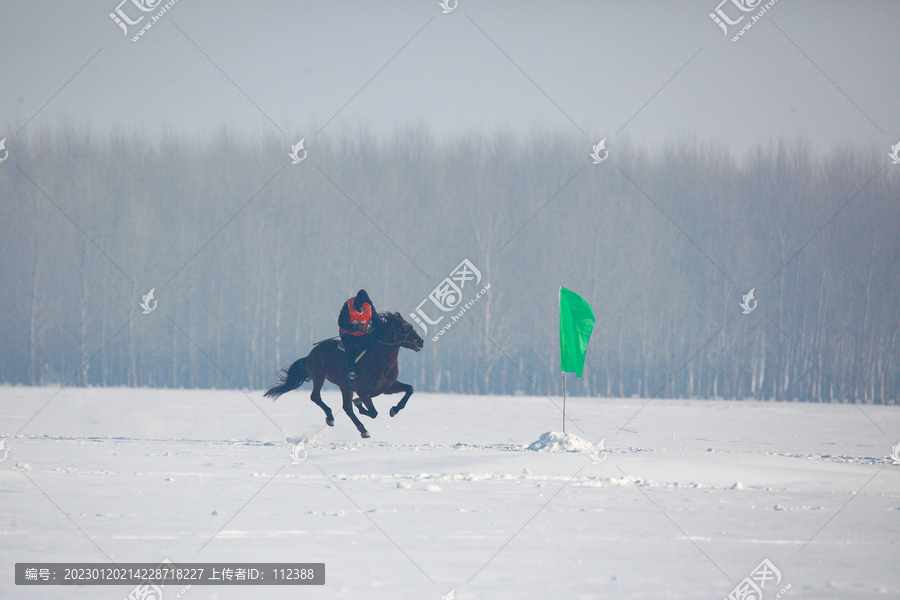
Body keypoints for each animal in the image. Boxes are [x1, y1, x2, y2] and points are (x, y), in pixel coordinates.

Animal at [264, 312, 426, 438]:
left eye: (411, 325)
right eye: (403, 327)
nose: (420, 342)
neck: (379, 359)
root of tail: (310, 354)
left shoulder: (387, 387)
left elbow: (409, 389)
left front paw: (394, 409)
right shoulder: (363, 391)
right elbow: (373, 412)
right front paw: (359, 404)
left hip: (345, 386)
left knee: (346, 407)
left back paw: (363, 430)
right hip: (319, 376)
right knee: (316, 397)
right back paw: (331, 418)